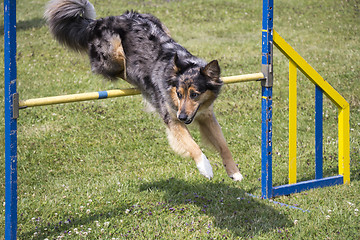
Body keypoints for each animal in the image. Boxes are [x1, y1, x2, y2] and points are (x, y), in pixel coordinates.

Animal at [44, 0, 242, 180]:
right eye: (179, 94)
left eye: (194, 94)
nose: (183, 117)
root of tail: (98, 21)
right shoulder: (171, 118)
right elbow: (192, 145)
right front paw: (205, 167)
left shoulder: (207, 115)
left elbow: (223, 144)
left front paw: (234, 172)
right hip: (113, 52)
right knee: (120, 70)